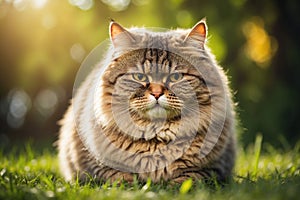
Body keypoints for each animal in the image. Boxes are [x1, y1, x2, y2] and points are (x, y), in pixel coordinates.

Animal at [57, 19, 237, 184]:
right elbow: (121, 180)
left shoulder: (208, 169)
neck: (155, 139)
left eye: (175, 77)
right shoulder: (98, 168)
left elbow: (186, 181)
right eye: (140, 77)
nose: (156, 93)